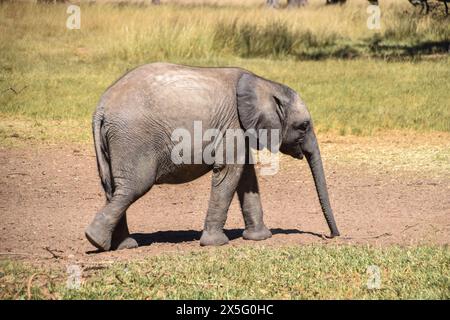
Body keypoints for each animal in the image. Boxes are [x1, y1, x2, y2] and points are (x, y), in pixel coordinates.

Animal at [84, 62, 340, 251]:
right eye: (304, 126)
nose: (332, 236)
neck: (264, 83)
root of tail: (101, 108)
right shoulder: (233, 124)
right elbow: (229, 171)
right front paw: (216, 244)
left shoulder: (240, 129)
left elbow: (246, 177)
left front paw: (260, 238)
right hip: (133, 139)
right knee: (133, 187)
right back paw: (96, 240)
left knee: (113, 188)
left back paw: (121, 245)